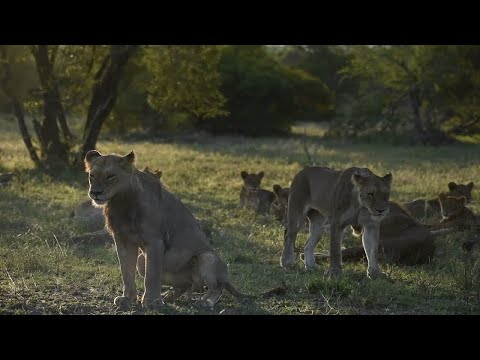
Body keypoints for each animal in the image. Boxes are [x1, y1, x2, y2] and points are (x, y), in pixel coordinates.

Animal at [83, 150, 248, 310]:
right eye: (92, 175)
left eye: (111, 176)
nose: (95, 192)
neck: (120, 203)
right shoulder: (122, 240)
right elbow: (126, 272)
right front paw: (128, 299)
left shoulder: (155, 241)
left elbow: (152, 275)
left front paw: (152, 301)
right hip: (142, 261)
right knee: (187, 285)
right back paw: (169, 297)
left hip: (208, 257)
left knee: (217, 287)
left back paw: (205, 302)